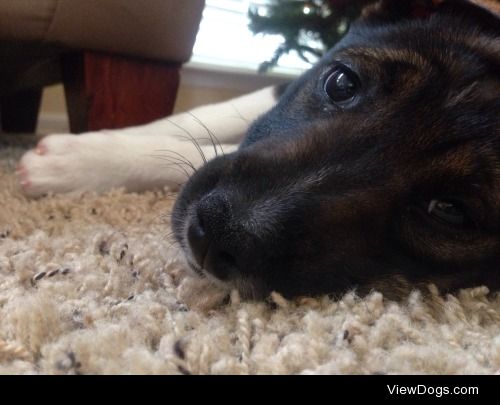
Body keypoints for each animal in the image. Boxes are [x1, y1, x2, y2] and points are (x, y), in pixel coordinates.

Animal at [19, 0, 500, 298]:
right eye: (342, 83)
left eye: (450, 210)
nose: (214, 233)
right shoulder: (276, 89)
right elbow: (198, 120)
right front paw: (82, 155)